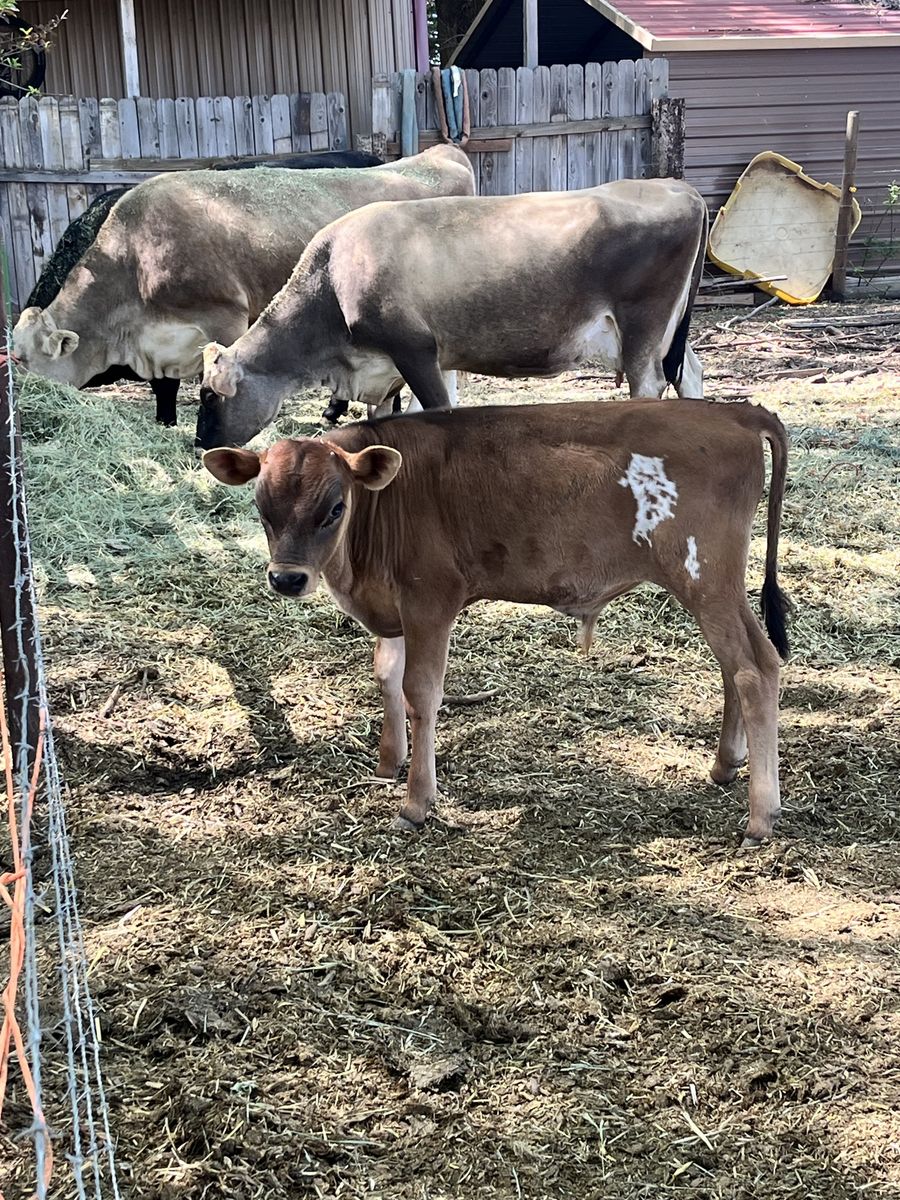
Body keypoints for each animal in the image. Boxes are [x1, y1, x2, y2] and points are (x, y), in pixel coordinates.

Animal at [13, 145, 475, 425]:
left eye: (22, 362)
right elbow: (164, 389)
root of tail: (436, 155)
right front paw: (166, 424)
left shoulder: (226, 317)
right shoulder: (160, 342)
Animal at [196, 178, 708, 450]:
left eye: (208, 397)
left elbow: (436, 412)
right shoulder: (418, 361)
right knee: (691, 373)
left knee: (650, 385)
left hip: (642, 325)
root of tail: (677, 187)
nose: (200, 443)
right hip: (667, 334)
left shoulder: (414, 349)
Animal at [203, 398, 790, 848]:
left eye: (333, 508)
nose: (287, 579)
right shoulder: (396, 612)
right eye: (262, 508)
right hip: (715, 586)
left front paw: (416, 801)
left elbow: (421, 692)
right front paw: (389, 763)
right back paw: (725, 765)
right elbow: (386, 676)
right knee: (734, 666)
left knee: (755, 668)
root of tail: (735, 411)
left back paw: (761, 815)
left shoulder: (430, 600)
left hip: (704, 575)